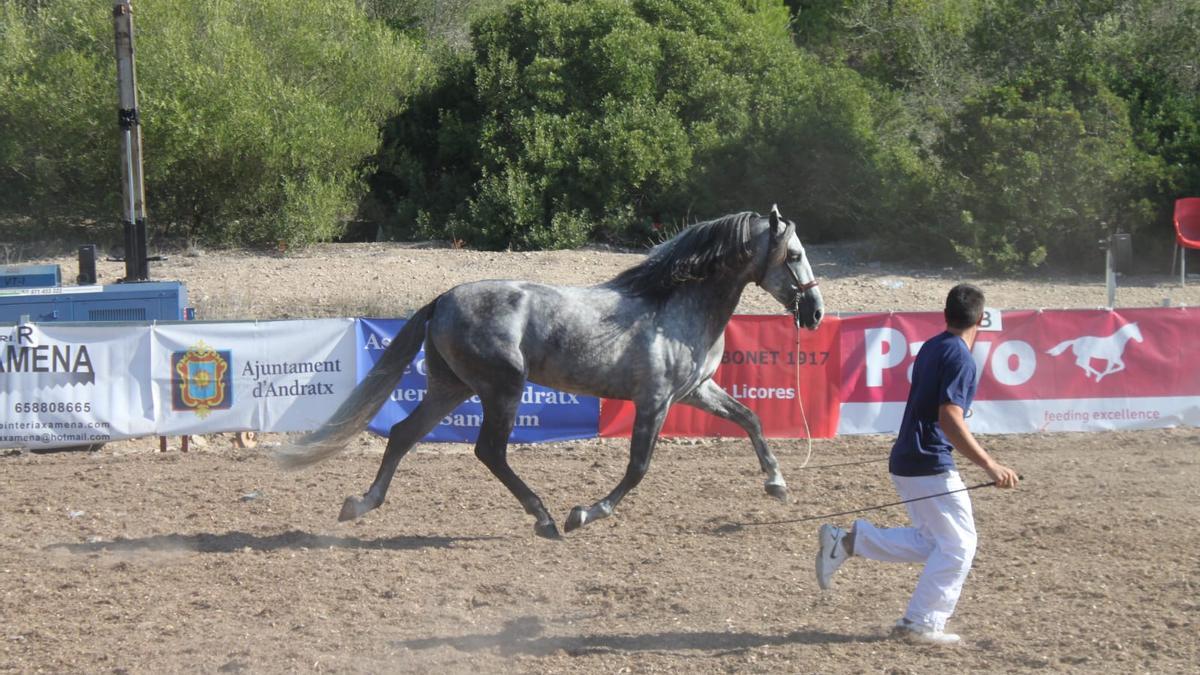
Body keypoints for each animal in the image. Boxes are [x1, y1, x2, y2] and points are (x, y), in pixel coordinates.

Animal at [277, 205, 825, 535]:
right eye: (795, 255)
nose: (816, 313)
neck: (675, 306)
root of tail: (442, 299)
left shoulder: (696, 391)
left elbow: (750, 419)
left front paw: (777, 484)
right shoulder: (656, 400)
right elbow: (638, 467)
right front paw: (584, 512)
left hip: (452, 387)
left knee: (403, 434)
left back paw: (361, 503)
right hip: (501, 386)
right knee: (488, 451)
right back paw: (543, 517)